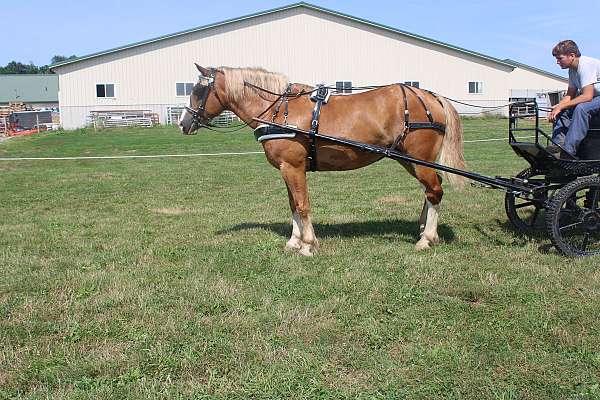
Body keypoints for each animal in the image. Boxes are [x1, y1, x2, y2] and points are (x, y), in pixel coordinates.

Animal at [180, 63, 466, 256]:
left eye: (198, 89)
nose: (183, 123)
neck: (277, 110)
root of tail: (430, 96)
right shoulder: (286, 169)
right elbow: (293, 205)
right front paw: (294, 241)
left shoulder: (293, 168)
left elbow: (303, 205)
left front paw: (308, 245)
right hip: (408, 159)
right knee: (430, 190)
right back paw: (423, 229)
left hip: (418, 159)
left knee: (435, 191)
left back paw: (426, 238)